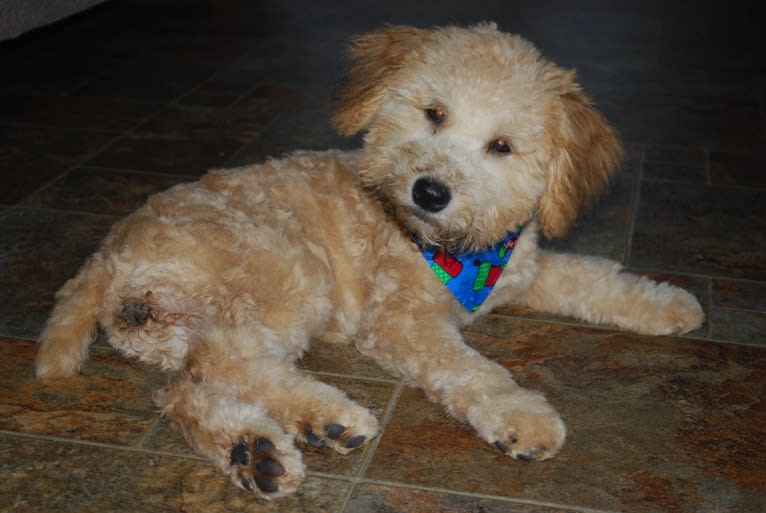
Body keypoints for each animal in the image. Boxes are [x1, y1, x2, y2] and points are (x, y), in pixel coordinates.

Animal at [36, 23, 708, 496]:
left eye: (502, 146)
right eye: (433, 113)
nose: (430, 191)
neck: (454, 250)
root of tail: (107, 253)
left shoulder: (525, 270)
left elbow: (594, 278)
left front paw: (670, 303)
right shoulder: (399, 319)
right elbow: (473, 370)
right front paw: (520, 415)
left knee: (184, 394)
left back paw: (257, 453)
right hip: (286, 271)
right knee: (229, 364)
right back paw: (326, 417)